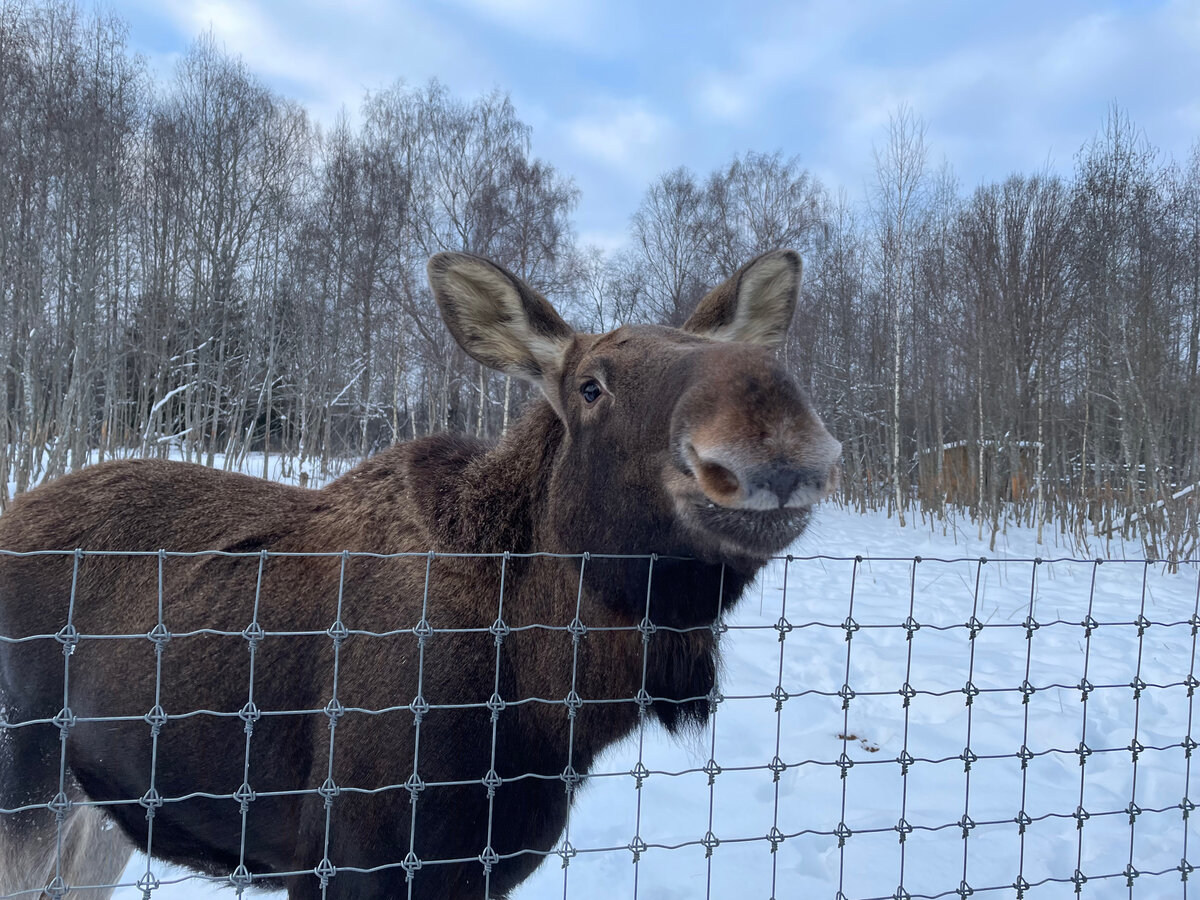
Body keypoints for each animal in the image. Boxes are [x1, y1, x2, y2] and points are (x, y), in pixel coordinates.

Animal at [0, 252, 840, 900]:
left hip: (97, 809)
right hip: (27, 795)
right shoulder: (347, 862)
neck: (546, 704)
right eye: (591, 385)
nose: (770, 428)